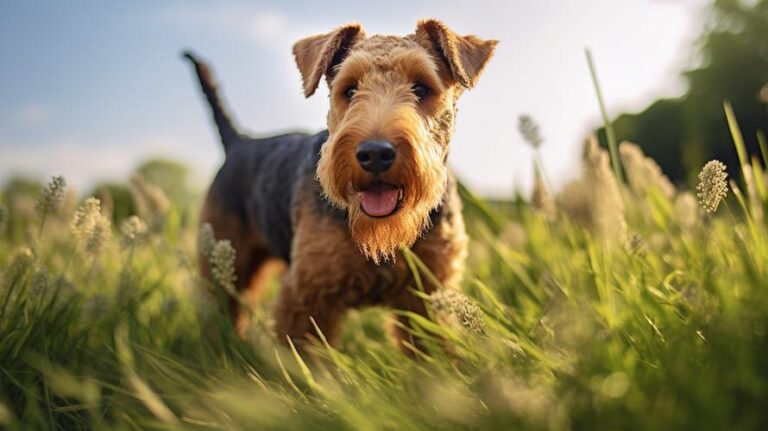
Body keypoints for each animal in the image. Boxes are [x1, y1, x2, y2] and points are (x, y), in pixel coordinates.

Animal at [187, 19, 498, 354]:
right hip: (224, 259)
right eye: (349, 89)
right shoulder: (308, 297)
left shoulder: (428, 295)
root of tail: (237, 142)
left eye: (421, 88)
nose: (375, 154)